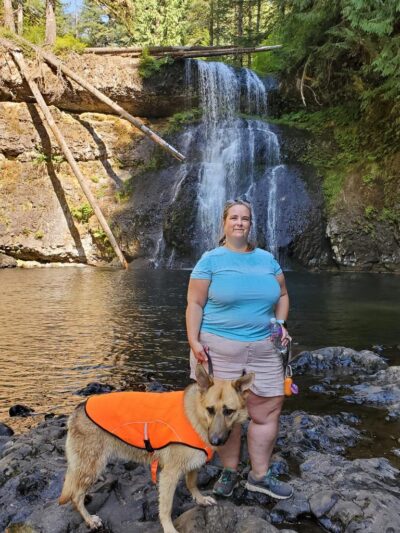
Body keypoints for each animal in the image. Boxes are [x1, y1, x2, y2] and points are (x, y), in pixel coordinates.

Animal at [59, 364, 253, 532]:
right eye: (210, 410)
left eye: (229, 411)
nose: (216, 441)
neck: (195, 416)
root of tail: (78, 408)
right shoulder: (169, 474)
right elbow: (165, 508)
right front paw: (168, 528)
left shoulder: (194, 464)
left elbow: (192, 483)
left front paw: (200, 499)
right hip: (93, 466)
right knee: (75, 496)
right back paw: (89, 519)